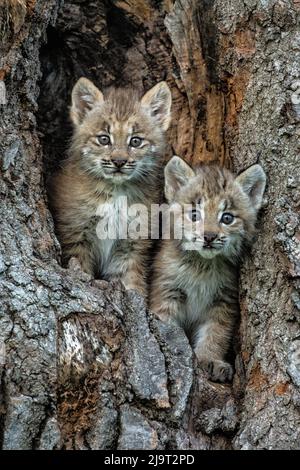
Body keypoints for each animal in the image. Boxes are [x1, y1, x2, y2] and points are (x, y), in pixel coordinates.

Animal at [49, 78, 171, 296]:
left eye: (136, 141)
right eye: (104, 139)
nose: (119, 162)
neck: (116, 191)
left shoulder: (132, 244)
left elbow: (130, 281)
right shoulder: (75, 235)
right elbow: (80, 269)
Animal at [149, 156, 266, 384]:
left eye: (227, 218)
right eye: (194, 215)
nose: (209, 237)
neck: (202, 265)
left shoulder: (224, 300)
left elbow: (216, 333)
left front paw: (209, 359)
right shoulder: (167, 290)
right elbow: (167, 325)